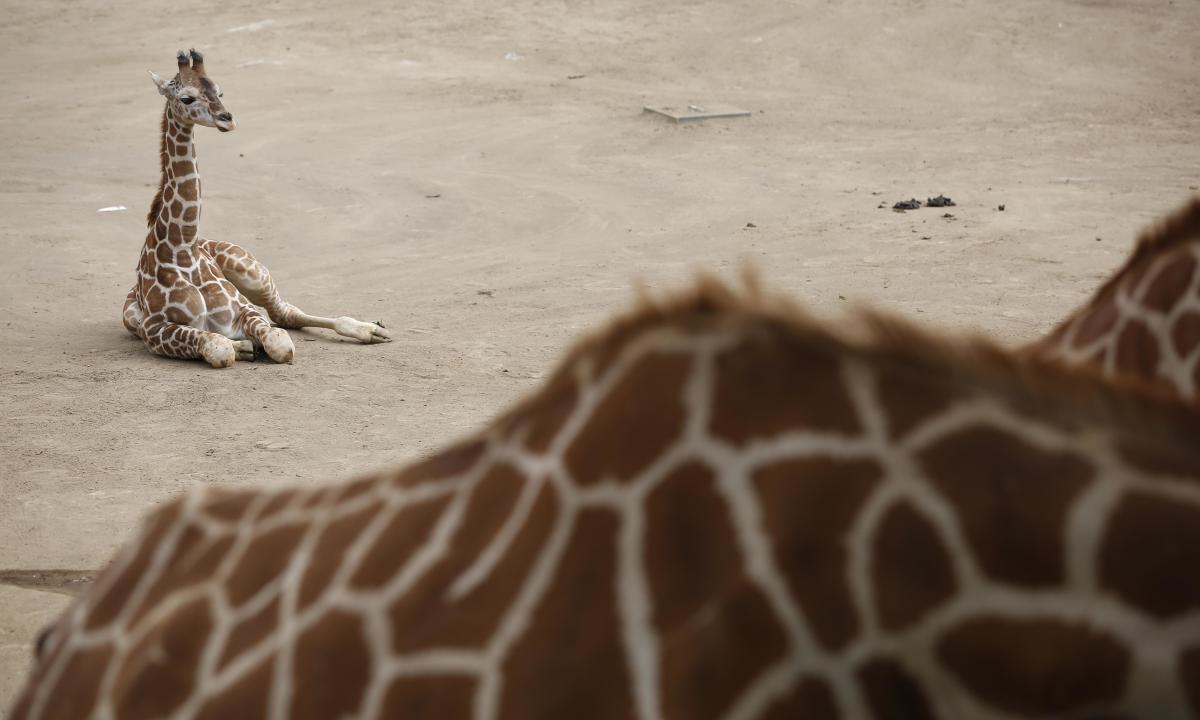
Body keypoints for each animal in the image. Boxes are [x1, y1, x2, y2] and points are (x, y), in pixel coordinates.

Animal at [120, 47, 388, 369]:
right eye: (186, 98)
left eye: (219, 91)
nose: (227, 118)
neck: (182, 248)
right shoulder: (153, 330)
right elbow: (220, 349)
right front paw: (243, 347)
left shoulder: (244, 309)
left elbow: (280, 343)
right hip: (130, 317)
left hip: (253, 272)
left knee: (286, 313)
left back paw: (372, 330)